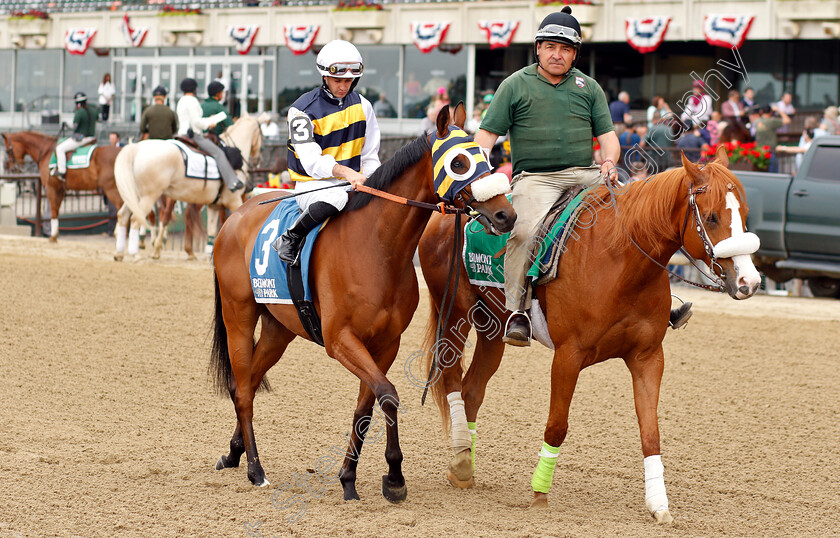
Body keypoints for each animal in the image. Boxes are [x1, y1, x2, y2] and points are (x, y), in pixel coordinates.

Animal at [115, 113, 264, 260]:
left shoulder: (214, 206)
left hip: (135, 196)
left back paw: (120, 253)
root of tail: (136, 148)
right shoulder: (234, 201)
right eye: (261, 133)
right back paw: (136, 253)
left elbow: (212, 229)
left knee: (123, 216)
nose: (258, 160)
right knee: (136, 219)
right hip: (149, 197)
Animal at [207, 105, 516, 502]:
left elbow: (366, 408)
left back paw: (234, 454)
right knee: (244, 389)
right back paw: (256, 470)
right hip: (239, 316)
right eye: (459, 162)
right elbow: (388, 395)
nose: (506, 215)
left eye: (486, 156)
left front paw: (349, 478)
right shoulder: (341, 341)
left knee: (245, 382)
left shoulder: (385, 344)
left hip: (279, 329)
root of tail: (234, 217)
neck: (377, 248)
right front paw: (394, 478)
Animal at [418, 146, 760, 520]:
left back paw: (466, 464)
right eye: (711, 217)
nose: (750, 281)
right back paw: (460, 461)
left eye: (744, 214)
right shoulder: (568, 356)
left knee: (472, 391)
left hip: (492, 331)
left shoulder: (648, 357)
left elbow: (650, 432)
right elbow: (557, 425)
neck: (619, 259)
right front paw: (539, 494)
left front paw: (659, 504)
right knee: (452, 382)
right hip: (455, 316)